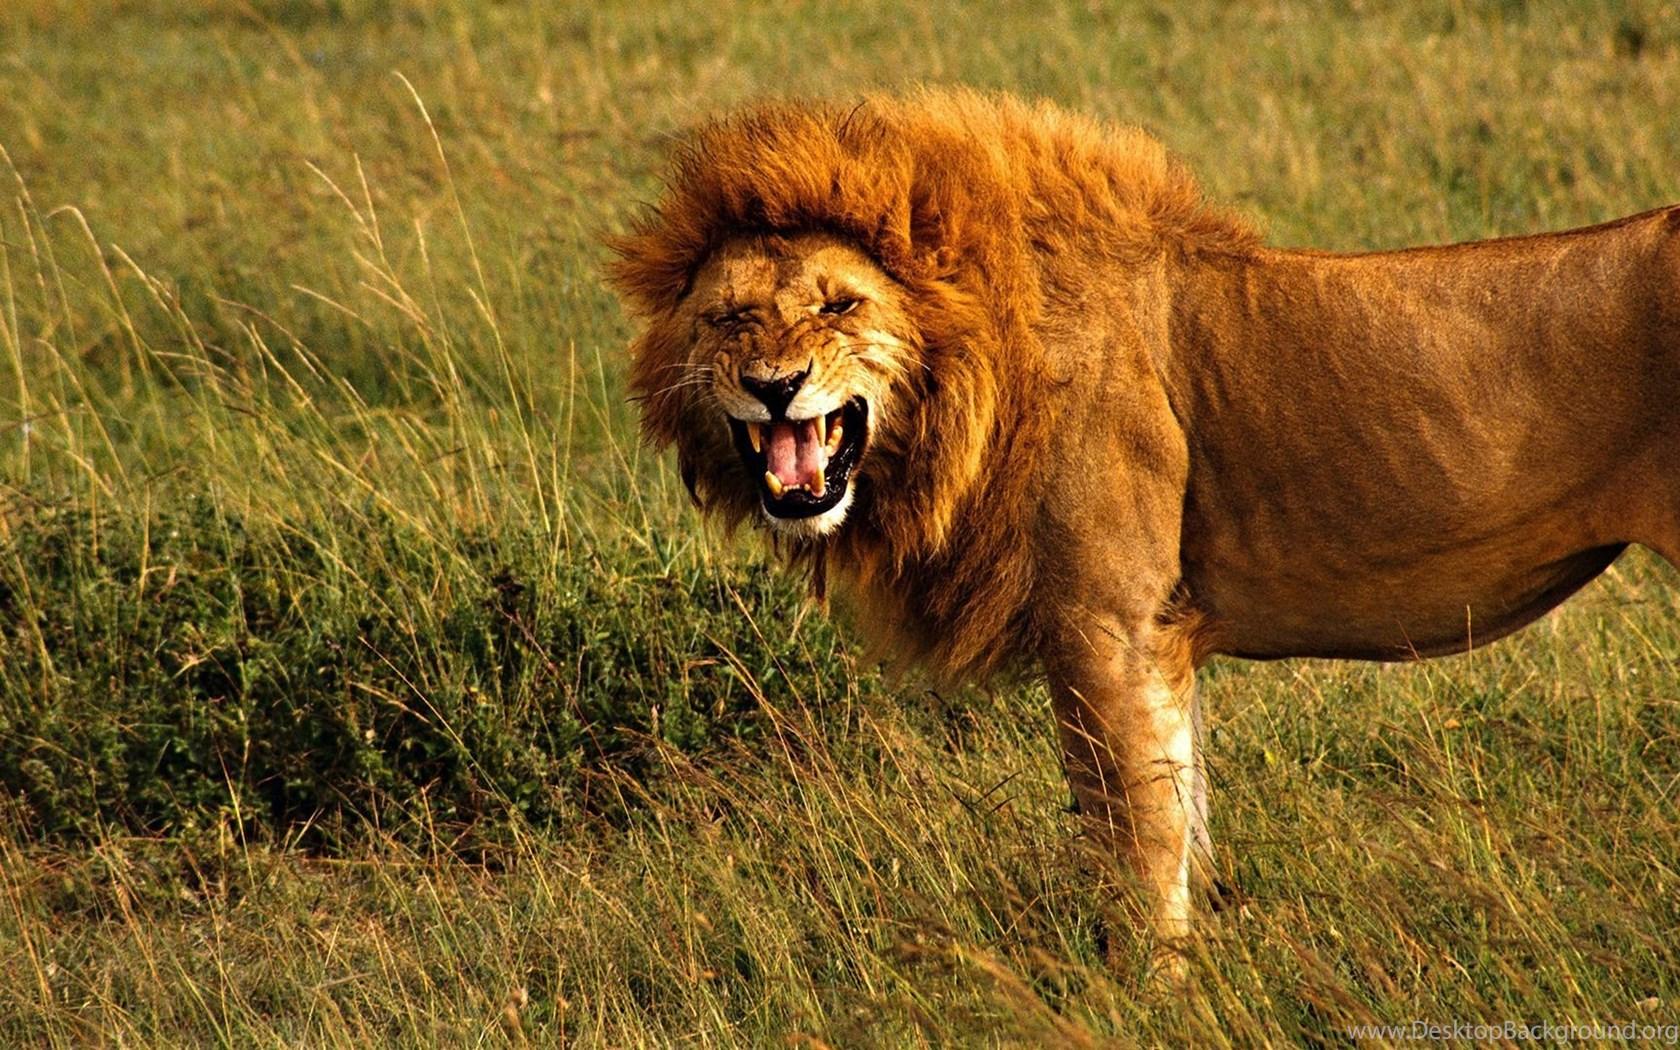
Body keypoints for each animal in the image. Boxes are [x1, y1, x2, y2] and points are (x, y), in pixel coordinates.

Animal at [607, 87, 1680, 973]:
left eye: (840, 304)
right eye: (732, 318)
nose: (774, 385)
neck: (977, 376)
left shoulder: (1109, 627)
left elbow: (1136, 838)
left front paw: (1150, 991)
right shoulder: (1162, 638)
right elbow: (1184, 816)